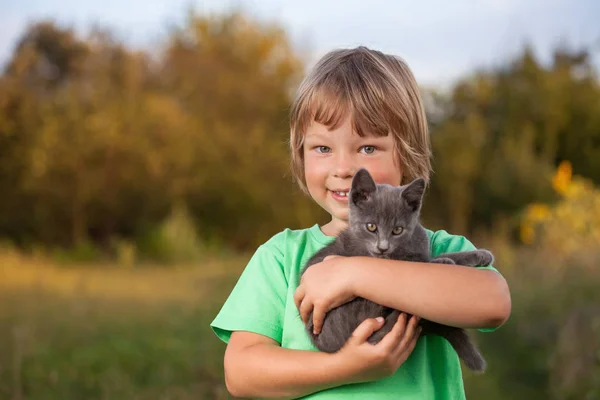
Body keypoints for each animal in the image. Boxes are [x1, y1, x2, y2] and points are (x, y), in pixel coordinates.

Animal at [300, 168, 492, 372]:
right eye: (371, 226)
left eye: (397, 230)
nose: (382, 248)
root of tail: (327, 344)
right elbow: (429, 262)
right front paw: (452, 260)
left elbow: (433, 256)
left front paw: (481, 255)